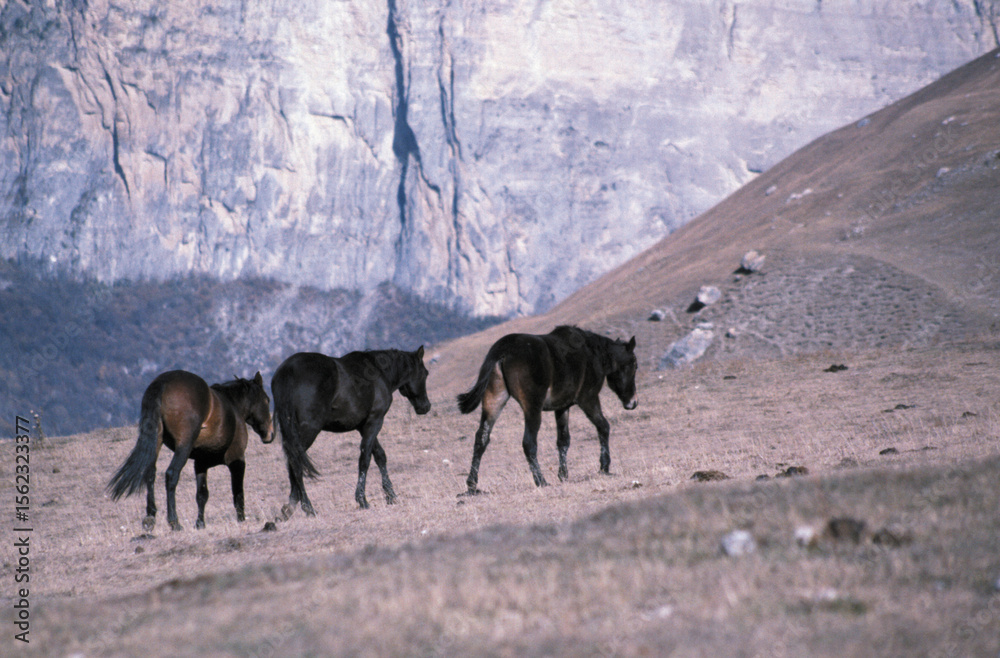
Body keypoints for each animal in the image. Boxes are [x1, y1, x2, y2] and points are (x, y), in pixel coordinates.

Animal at [107, 370, 273, 531]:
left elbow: (202, 495)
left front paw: (200, 524)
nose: (270, 434)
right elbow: (238, 492)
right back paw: (174, 522)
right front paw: (241, 519)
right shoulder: (237, 459)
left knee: (150, 473)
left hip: (156, 442)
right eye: (267, 400)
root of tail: (162, 383)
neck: (233, 406)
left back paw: (150, 517)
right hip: (184, 447)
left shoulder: (200, 464)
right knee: (171, 474)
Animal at [271, 346, 431, 515]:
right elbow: (365, 459)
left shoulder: (363, 426)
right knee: (296, 463)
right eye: (425, 373)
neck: (379, 371)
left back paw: (290, 506)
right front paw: (362, 499)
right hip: (309, 431)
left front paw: (391, 495)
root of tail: (288, 370)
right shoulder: (375, 421)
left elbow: (380, 456)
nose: (425, 406)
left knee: (292, 462)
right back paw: (308, 507)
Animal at [457, 325, 637, 493]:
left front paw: (563, 475)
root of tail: (503, 350)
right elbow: (603, 427)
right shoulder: (588, 399)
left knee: (481, 439)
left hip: (494, 402)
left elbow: (563, 441)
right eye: (634, 365)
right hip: (532, 408)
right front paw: (604, 467)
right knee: (528, 443)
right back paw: (541, 480)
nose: (633, 402)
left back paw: (472, 485)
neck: (593, 353)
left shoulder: (562, 407)